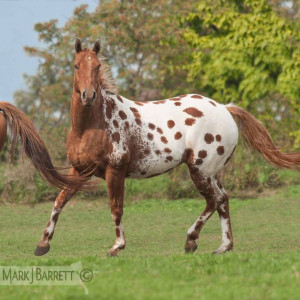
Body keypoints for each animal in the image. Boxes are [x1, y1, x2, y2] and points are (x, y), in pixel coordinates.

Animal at [33, 38, 300, 256]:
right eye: (76, 66)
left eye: (97, 66)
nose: (89, 96)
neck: (92, 125)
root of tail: (225, 108)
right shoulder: (78, 170)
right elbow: (59, 201)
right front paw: (42, 244)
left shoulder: (115, 170)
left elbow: (116, 207)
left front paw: (117, 246)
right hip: (211, 171)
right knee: (223, 199)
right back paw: (223, 246)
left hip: (200, 170)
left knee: (214, 200)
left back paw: (191, 240)